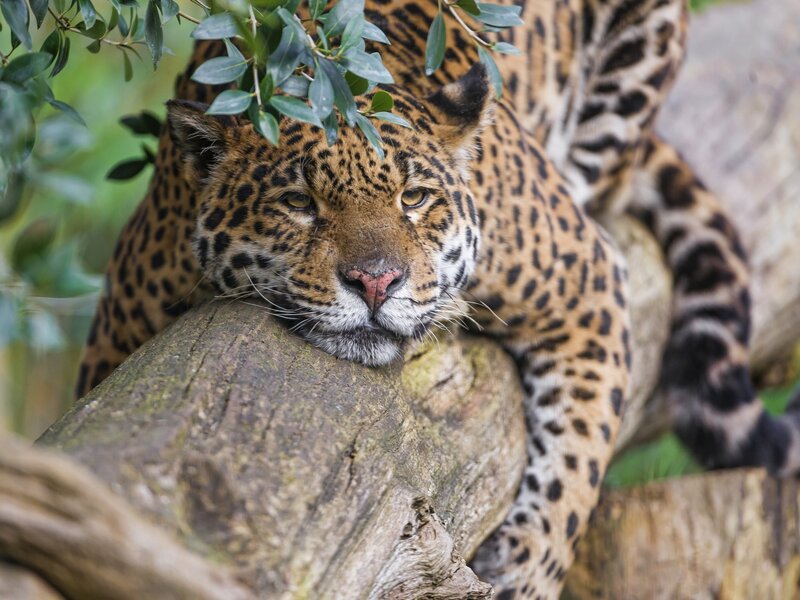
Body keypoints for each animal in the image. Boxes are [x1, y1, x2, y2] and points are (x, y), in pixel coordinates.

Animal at [75, 0, 800, 597]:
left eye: (414, 198)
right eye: (300, 204)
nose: (375, 282)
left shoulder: (586, 279)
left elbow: (578, 463)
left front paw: (527, 569)